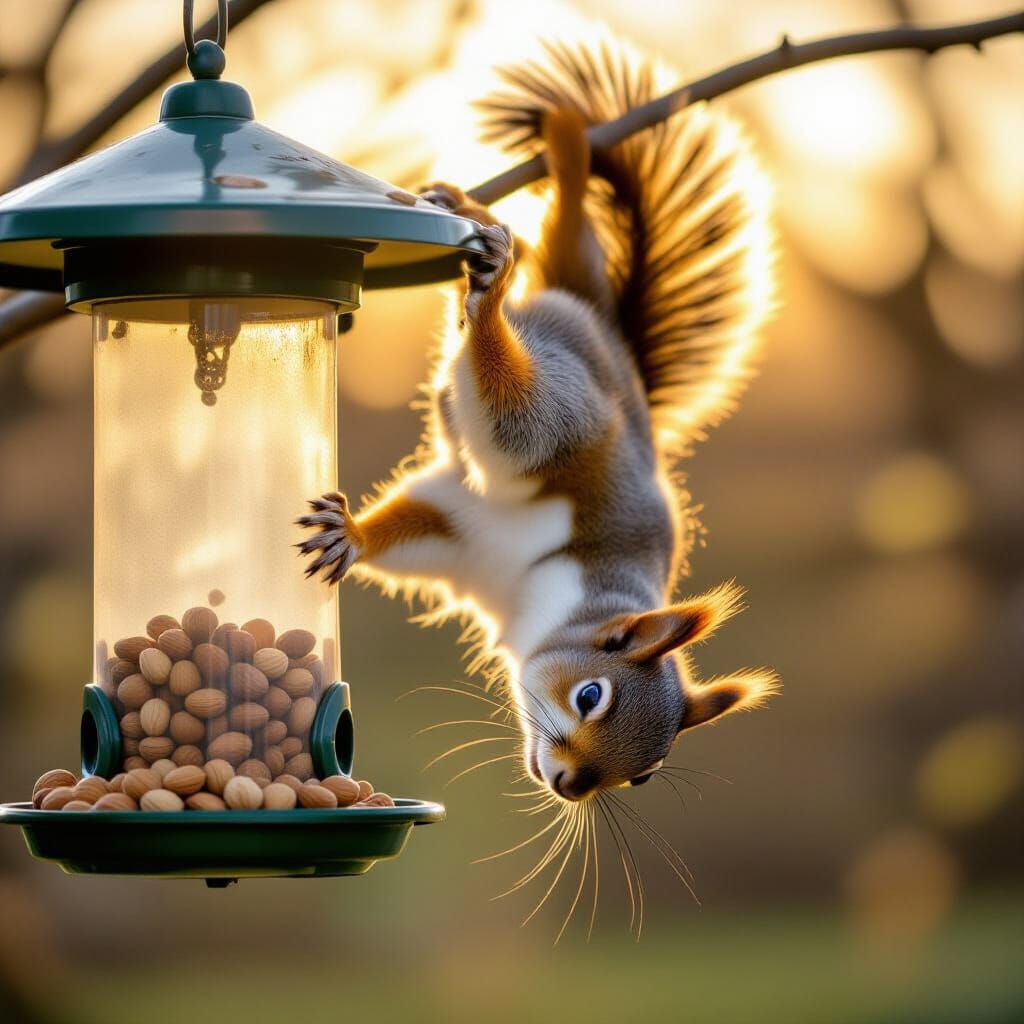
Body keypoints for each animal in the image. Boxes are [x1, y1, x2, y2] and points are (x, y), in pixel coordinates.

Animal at [298, 42, 779, 802]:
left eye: (644, 776)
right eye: (591, 696)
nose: (572, 785)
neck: (536, 592)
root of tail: (600, 318)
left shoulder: (460, 538)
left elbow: (413, 535)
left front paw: (353, 537)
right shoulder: (527, 475)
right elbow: (508, 426)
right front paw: (350, 532)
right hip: (565, 380)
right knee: (516, 323)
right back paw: (494, 246)